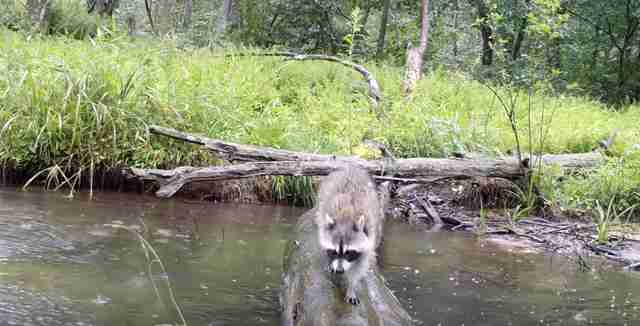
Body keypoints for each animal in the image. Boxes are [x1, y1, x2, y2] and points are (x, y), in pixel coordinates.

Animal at [314, 166, 382, 306]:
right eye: (333, 251)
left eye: (349, 252)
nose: (340, 270)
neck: (346, 217)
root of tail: (350, 167)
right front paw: (331, 263)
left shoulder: (369, 237)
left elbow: (359, 268)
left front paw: (352, 287)